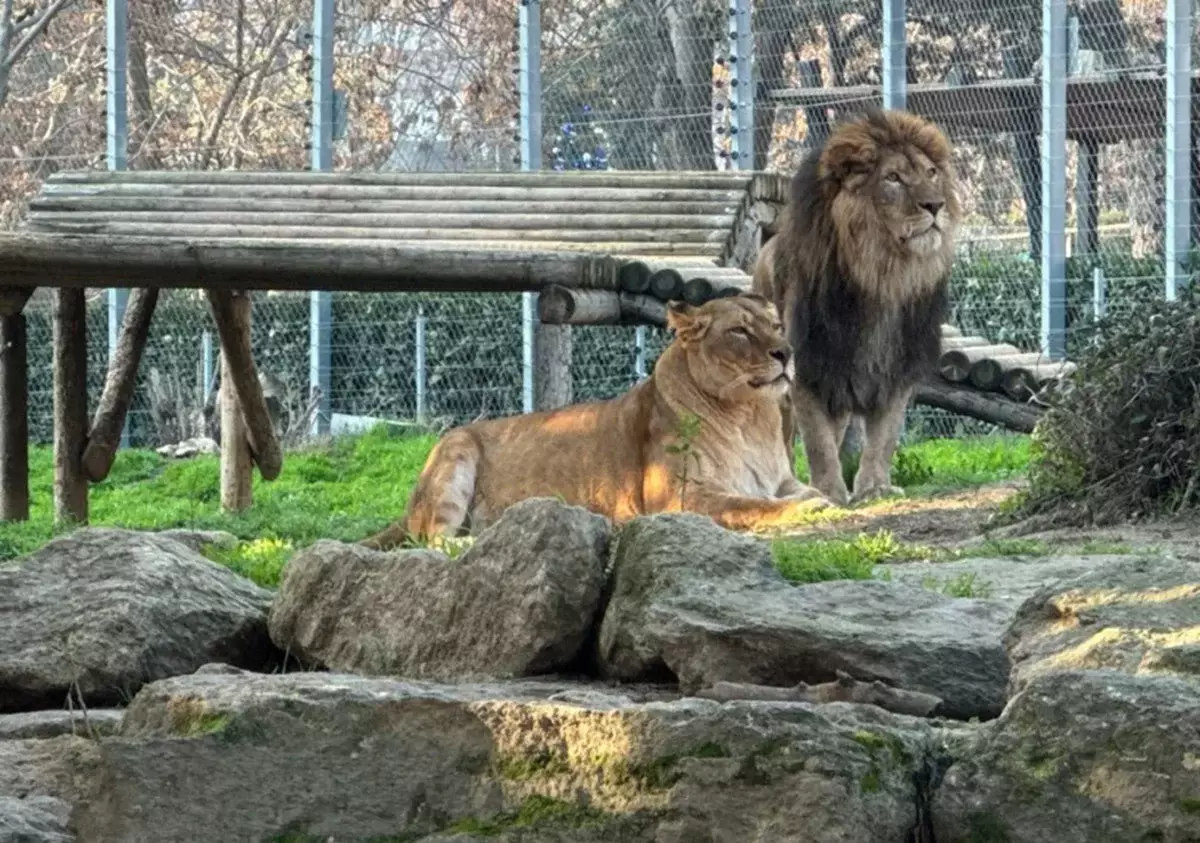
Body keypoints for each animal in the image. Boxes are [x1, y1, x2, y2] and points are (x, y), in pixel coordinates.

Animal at [364, 294, 830, 552]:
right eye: (739, 331)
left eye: (775, 325)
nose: (786, 352)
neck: (747, 416)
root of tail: (411, 505)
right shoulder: (678, 498)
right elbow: (749, 504)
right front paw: (806, 509)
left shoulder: (779, 479)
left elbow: (802, 490)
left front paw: (823, 499)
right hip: (455, 450)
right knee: (432, 539)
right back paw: (476, 537)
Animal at [753, 112, 960, 509]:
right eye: (893, 178)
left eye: (931, 173)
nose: (936, 206)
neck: (882, 277)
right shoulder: (811, 366)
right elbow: (817, 443)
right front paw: (829, 492)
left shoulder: (895, 367)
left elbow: (883, 438)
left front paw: (875, 488)